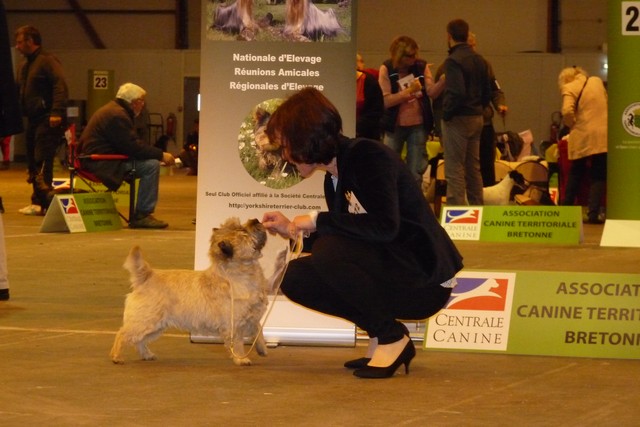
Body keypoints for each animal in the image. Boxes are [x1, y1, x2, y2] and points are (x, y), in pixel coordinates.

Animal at [110, 219, 284, 366]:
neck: (241, 274)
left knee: (139, 340)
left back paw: (147, 355)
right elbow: (238, 343)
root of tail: (148, 276)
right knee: (123, 334)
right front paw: (241, 359)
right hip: (146, 321)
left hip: (155, 326)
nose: (255, 220)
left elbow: (258, 330)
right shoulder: (234, 323)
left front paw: (262, 348)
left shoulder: (252, 316)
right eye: (243, 232)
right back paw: (117, 356)